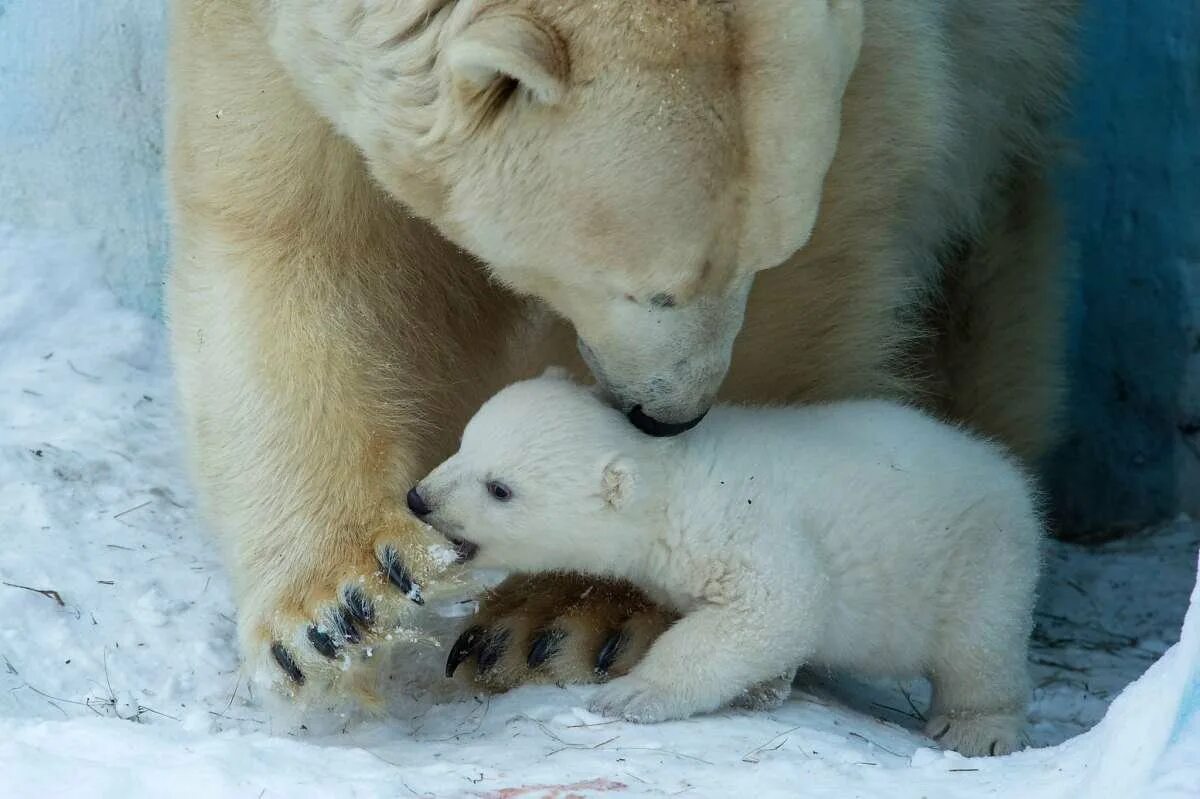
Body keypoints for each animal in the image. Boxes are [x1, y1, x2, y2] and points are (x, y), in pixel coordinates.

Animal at [166, 1, 1080, 695]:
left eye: (759, 259)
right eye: (651, 290)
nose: (672, 415)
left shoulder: (892, 76)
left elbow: (828, 261)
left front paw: (573, 612)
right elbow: (292, 233)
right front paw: (340, 609)